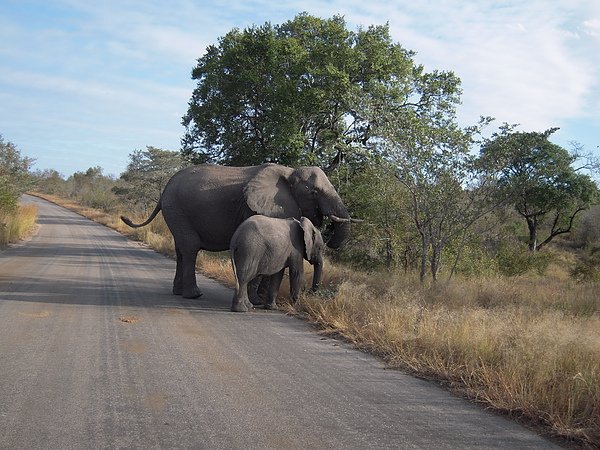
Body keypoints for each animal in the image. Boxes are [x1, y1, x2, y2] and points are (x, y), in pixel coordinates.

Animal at [121, 163, 352, 298]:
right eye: (314, 192)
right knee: (190, 249)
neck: (289, 172)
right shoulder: (253, 207)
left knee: (180, 250)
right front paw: (257, 301)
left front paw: (260, 300)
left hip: (175, 211)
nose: (311, 294)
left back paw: (179, 293)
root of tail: (164, 192)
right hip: (177, 208)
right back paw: (194, 295)